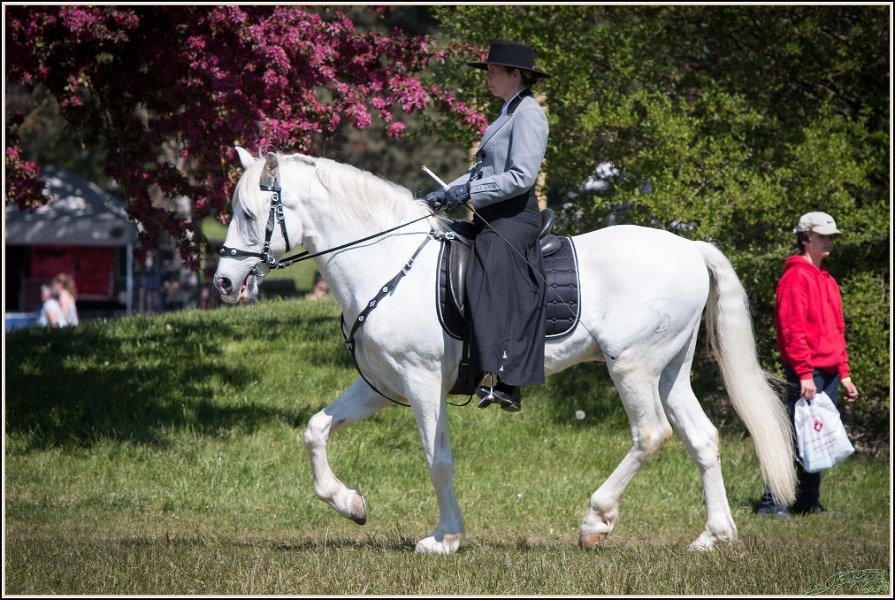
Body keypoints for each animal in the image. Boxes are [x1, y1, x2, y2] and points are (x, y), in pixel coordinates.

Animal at [213, 147, 796, 554]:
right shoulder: (381, 384)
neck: (385, 259)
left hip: (632, 366)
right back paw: (713, 536)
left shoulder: (423, 380)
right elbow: (316, 430)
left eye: (250, 214)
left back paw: (596, 521)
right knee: (702, 439)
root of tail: (689, 247)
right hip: (671, 368)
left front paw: (444, 538)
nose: (222, 282)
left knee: (650, 434)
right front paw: (349, 503)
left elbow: (437, 458)